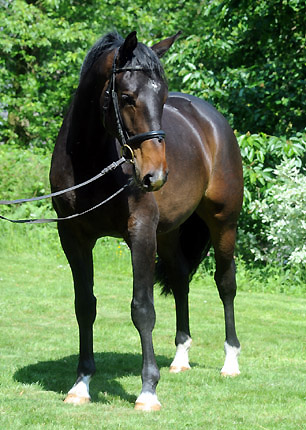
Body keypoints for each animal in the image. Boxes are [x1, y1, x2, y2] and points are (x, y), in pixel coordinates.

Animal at [49, 30, 244, 410]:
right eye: (126, 97)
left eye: (163, 97)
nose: (155, 175)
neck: (92, 162)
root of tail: (212, 119)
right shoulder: (74, 236)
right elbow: (85, 306)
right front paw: (81, 384)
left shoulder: (139, 234)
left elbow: (143, 309)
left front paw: (148, 390)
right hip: (168, 233)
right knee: (181, 278)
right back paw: (181, 357)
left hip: (223, 223)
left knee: (225, 284)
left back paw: (230, 362)